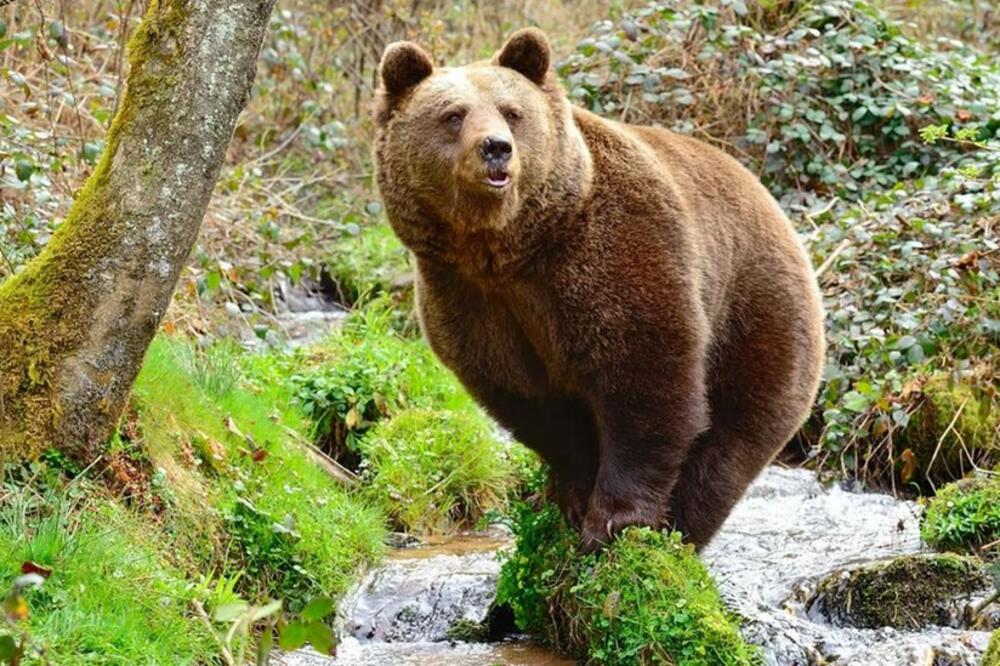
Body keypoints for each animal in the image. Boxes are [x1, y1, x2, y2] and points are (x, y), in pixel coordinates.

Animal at [372, 28, 825, 550]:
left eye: (512, 111)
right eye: (453, 115)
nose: (496, 148)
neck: (509, 248)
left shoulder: (614, 255)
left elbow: (645, 382)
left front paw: (615, 520)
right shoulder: (471, 299)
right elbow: (537, 405)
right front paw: (572, 497)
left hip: (756, 314)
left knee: (730, 442)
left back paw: (683, 526)